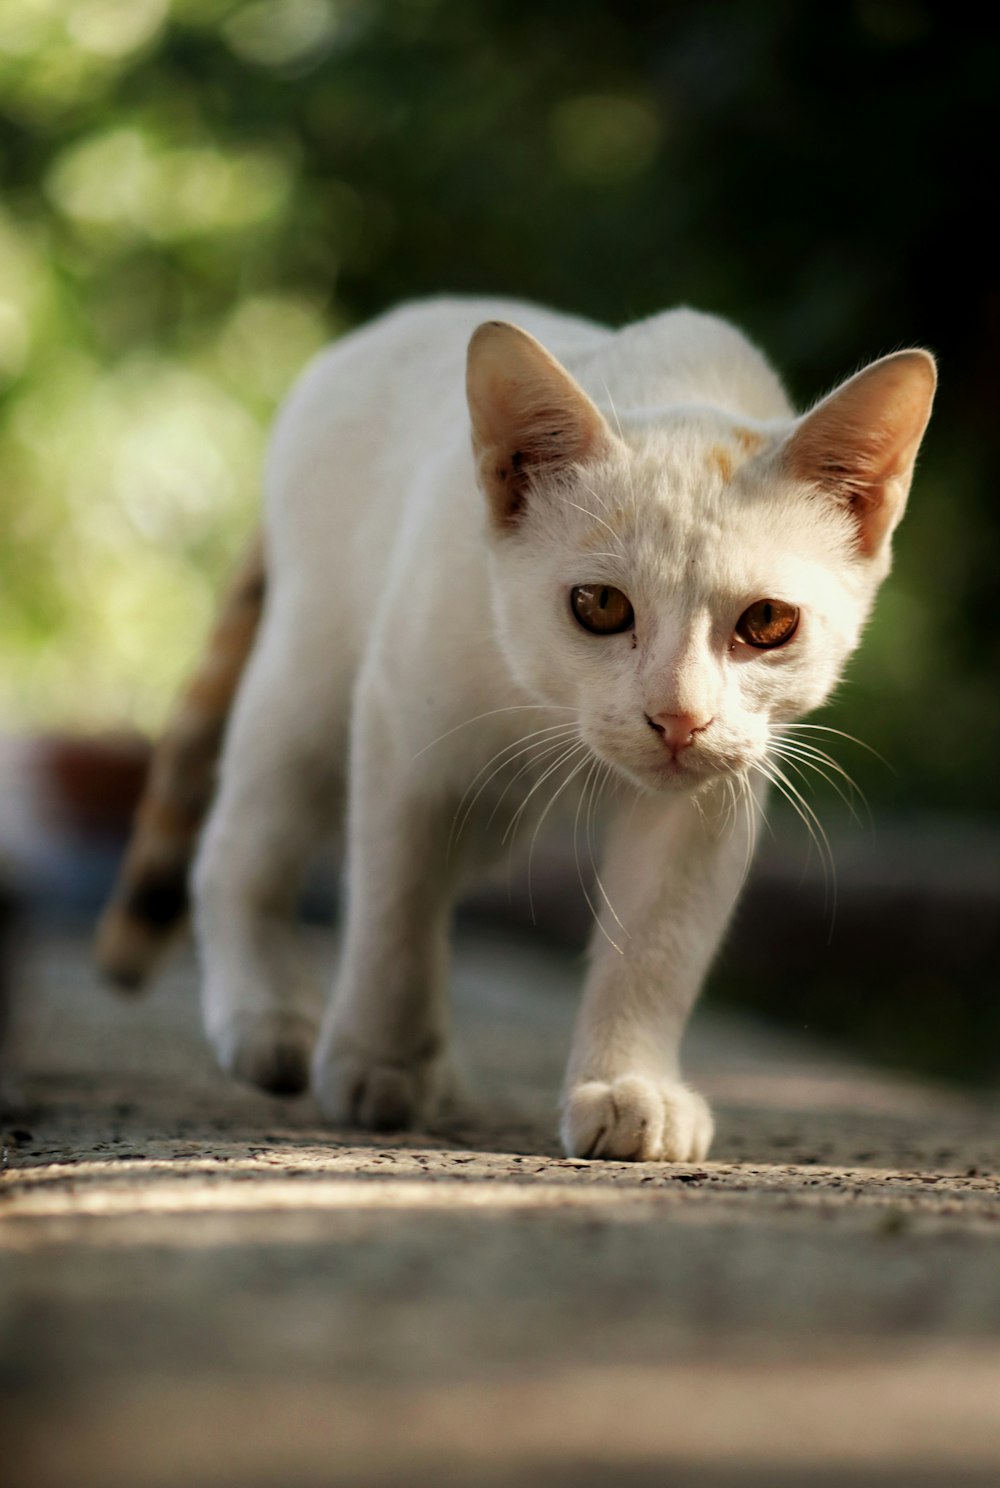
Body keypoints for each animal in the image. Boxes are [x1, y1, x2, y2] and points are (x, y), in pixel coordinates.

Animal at [97, 299, 934, 1160]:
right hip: (307, 686)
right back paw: (267, 1017)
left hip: (489, 814)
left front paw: (627, 1085)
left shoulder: (709, 797)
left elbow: (658, 942)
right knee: (238, 847)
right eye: (600, 605)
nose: (678, 716)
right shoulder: (405, 733)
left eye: (767, 622)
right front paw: (378, 1060)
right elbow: (394, 910)